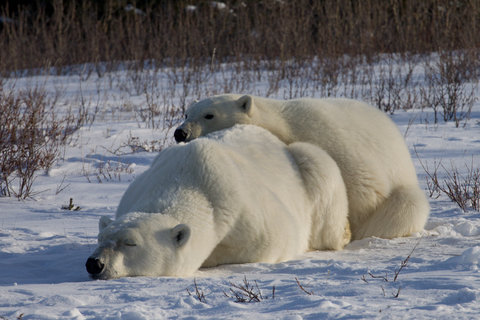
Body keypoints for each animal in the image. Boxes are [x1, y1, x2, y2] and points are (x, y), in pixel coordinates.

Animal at [86, 125, 348, 278]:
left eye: (130, 243)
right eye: (100, 238)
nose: (95, 264)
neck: (185, 179)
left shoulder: (249, 214)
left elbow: (275, 241)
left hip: (308, 166)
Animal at [174, 94, 430, 239]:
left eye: (209, 115)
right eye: (187, 113)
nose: (180, 133)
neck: (284, 126)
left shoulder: (335, 143)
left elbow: (367, 192)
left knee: (404, 206)